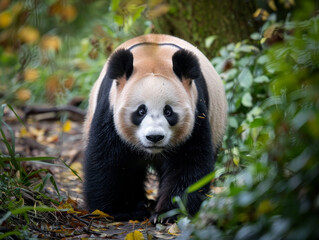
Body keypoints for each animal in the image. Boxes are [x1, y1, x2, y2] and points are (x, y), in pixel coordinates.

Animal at [82, 33, 228, 221]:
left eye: (168, 111)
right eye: (141, 111)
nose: (154, 137)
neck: (154, 60)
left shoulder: (196, 112)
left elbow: (189, 163)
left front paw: (167, 213)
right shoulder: (110, 109)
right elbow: (107, 160)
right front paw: (120, 210)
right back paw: (141, 203)